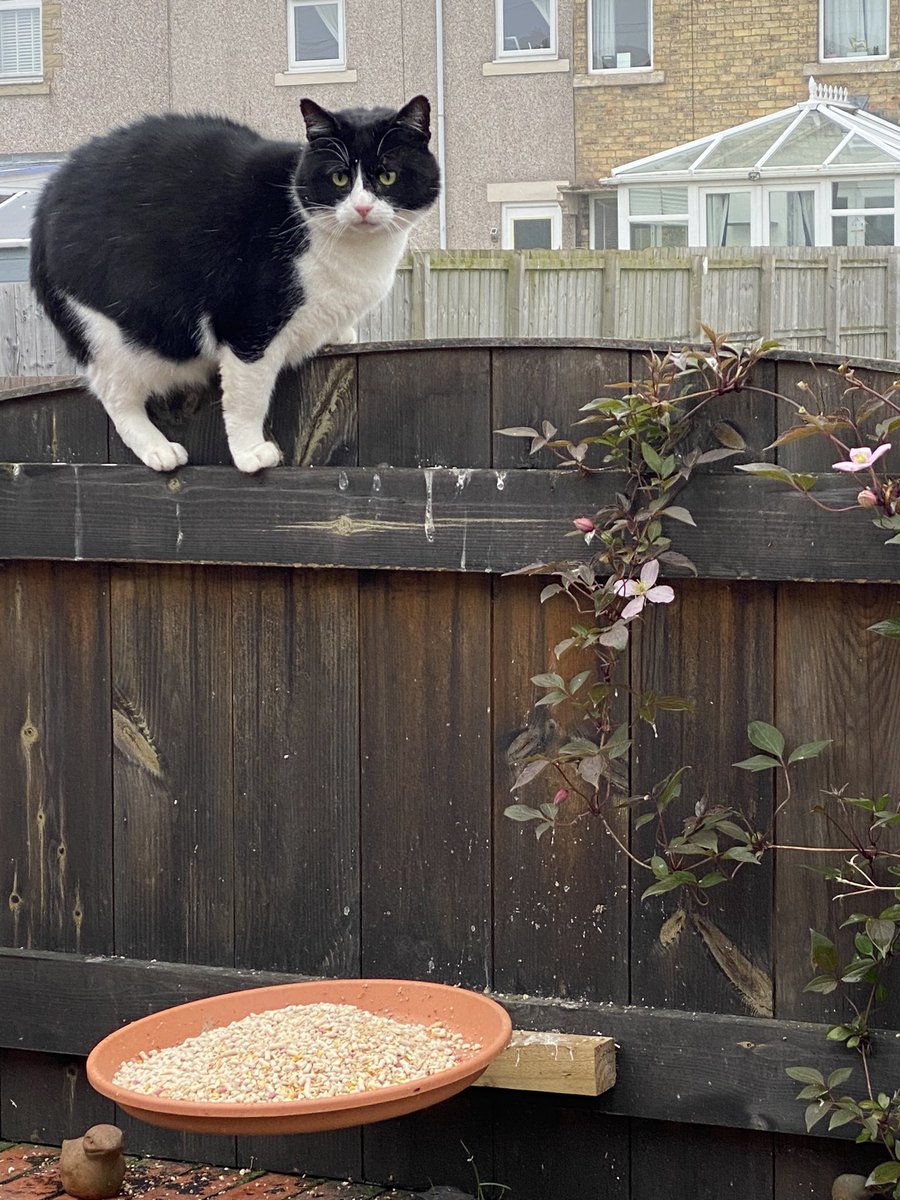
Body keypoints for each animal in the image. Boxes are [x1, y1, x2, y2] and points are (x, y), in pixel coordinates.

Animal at [33, 98, 441, 472]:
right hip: (111, 332)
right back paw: (158, 449)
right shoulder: (248, 324)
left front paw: (341, 334)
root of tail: (46, 196)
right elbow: (248, 397)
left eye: (387, 176)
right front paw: (249, 454)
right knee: (115, 393)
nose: (361, 208)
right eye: (339, 178)